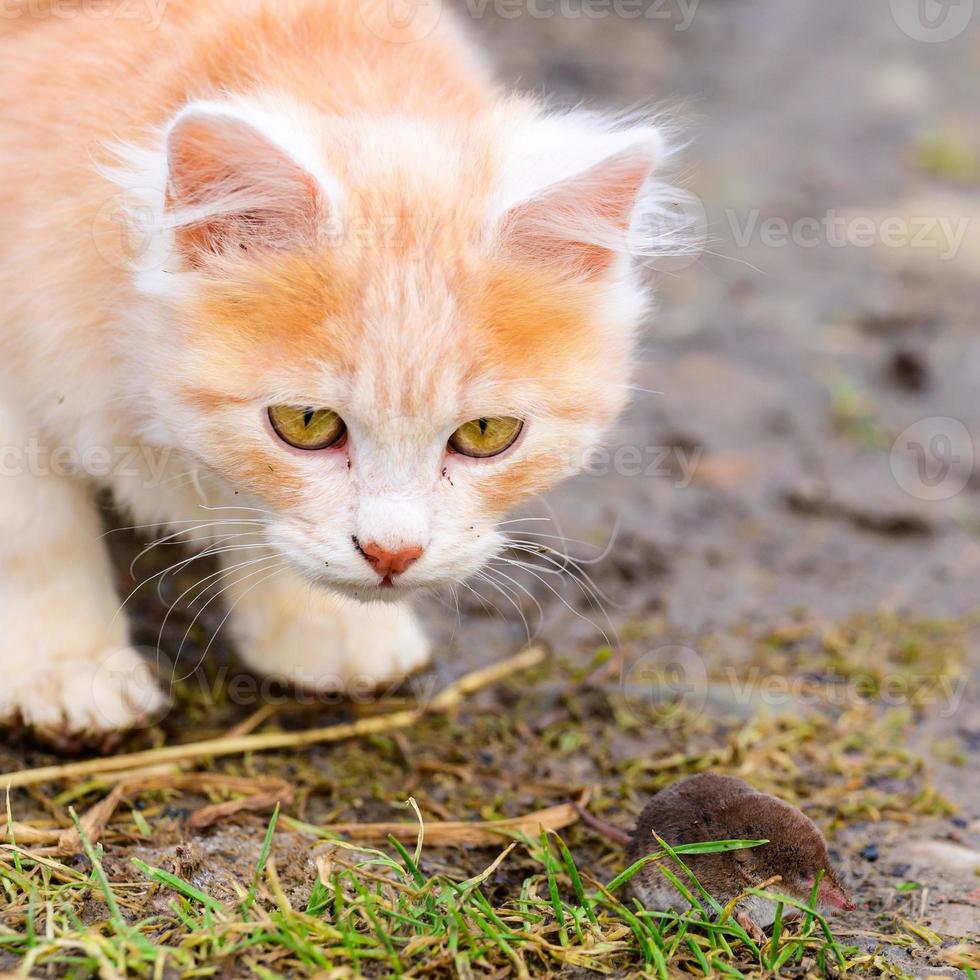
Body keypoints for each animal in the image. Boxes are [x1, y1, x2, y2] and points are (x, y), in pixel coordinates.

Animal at [0, 0, 684, 736]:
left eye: (486, 435)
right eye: (305, 423)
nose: (392, 556)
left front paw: (321, 627)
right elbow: (34, 527)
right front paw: (67, 665)